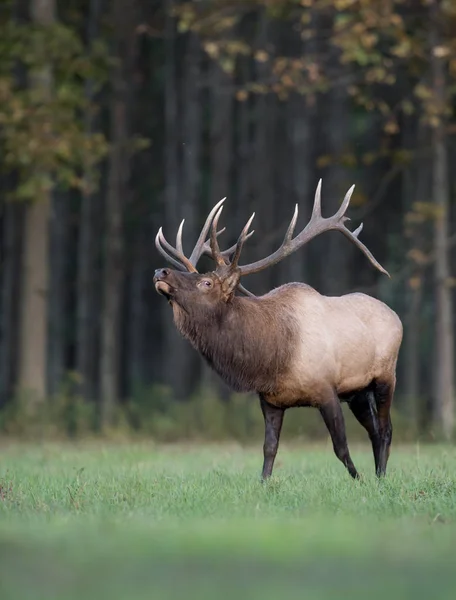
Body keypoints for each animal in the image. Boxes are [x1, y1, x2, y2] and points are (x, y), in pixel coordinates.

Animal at [153, 180, 402, 480]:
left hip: (385, 376)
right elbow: (269, 448)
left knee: (386, 430)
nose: (160, 272)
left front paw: (358, 479)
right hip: (358, 392)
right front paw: (263, 482)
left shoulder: (326, 389)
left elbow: (340, 446)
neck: (273, 356)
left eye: (206, 283)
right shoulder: (270, 400)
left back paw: (380, 477)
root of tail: (395, 316)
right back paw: (379, 475)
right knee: (375, 430)